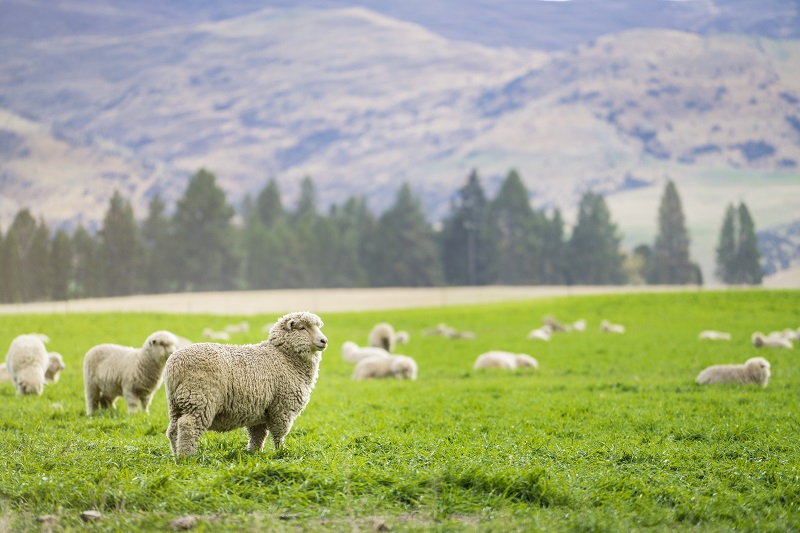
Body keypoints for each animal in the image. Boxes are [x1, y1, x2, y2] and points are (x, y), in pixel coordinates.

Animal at [164, 310, 326, 456]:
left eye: (318, 327)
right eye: (302, 328)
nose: (324, 341)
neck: (283, 357)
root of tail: (174, 366)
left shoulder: (261, 410)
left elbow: (257, 435)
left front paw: (254, 453)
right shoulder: (282, 407)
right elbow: (279, 434)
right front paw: (281, 452)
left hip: (177, 402)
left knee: (173, 430)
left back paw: (176, 454)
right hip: (200, 399)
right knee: (188, 426)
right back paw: (187, 456)